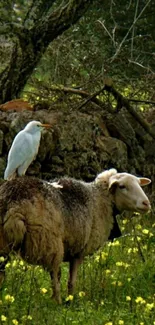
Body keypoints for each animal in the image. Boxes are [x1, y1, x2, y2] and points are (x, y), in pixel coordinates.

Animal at [0, 168, 151, 302]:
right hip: (49, 242)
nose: (146, 203)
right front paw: (71, 301)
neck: (100, 200)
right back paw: (58, 302)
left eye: (139, 183)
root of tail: (14, 204)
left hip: (4, 244)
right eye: (122, 186)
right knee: (55, 275)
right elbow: (71, 281)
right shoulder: (79, 250)